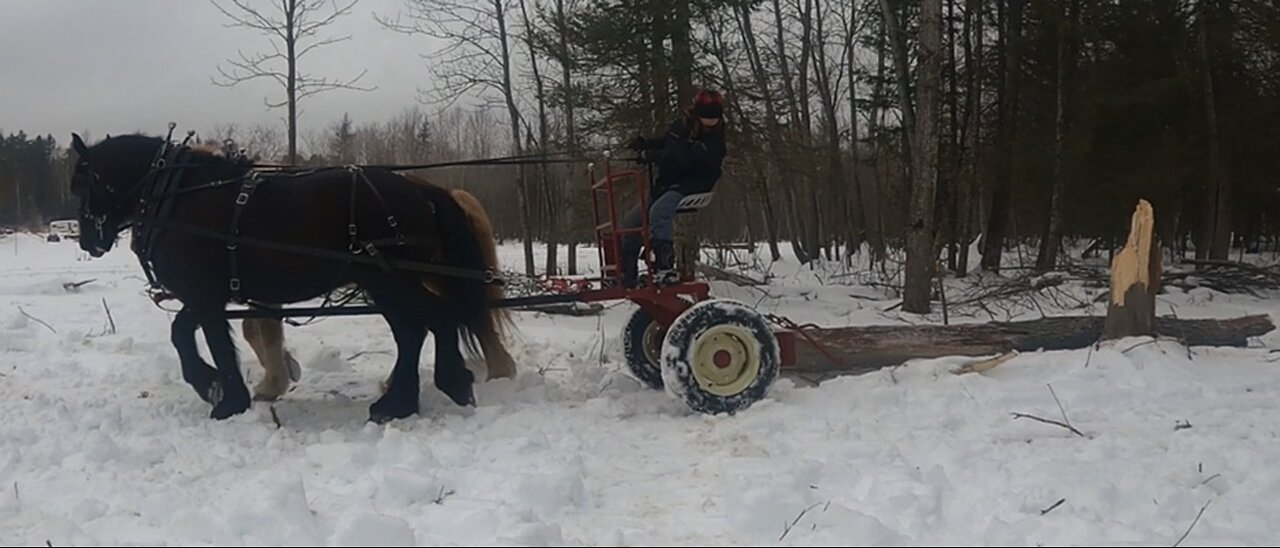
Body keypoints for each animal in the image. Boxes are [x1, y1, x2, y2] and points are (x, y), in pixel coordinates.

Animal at [68, 132, 509, 425]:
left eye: (79, 185)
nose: (89, 241)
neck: (177, 197)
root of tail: (422, 192)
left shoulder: (204, 294)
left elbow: (206, 341)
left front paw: (223, 396)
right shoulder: (207, 296)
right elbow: (190, 334)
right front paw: (222, 388)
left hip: (391, 280)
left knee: (434, 320)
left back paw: (445, 386)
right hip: (384, 284)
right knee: (414, 330)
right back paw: (399, 403)